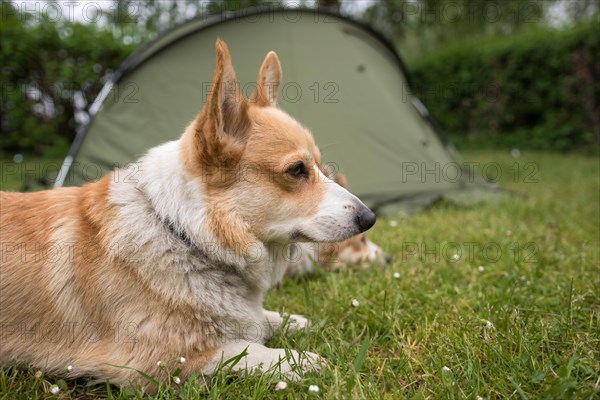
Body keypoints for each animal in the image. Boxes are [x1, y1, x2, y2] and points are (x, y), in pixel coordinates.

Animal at [0, 39, 376, 388]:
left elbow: (270, 319)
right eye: (297, 170)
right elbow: (253, 351)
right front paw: (311, 360)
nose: (369, 218)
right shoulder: (160, 360)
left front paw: (303, 322)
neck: (185, 234)